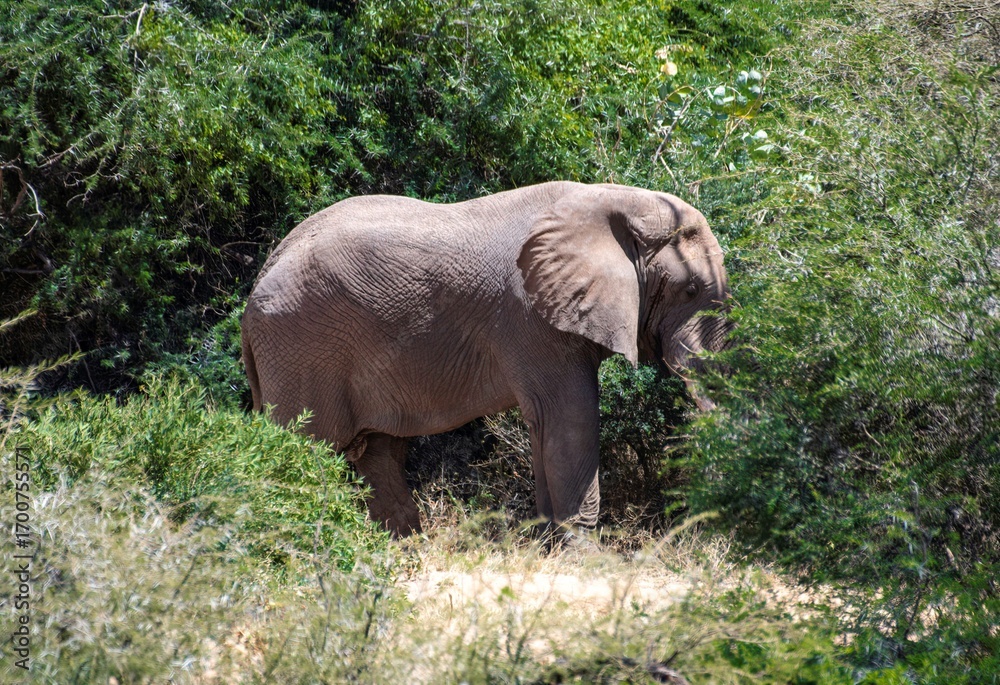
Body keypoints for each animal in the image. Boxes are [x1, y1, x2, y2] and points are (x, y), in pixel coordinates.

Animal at [241, 181, 730, 537]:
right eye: (690, 290)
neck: (613, 200)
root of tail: (253, 293)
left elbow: (547, 427)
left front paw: (549, 548)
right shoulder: (532, 319)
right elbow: (570, 420)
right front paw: (582, 558)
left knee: (378, 454)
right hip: (301, 349)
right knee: (306, 448)